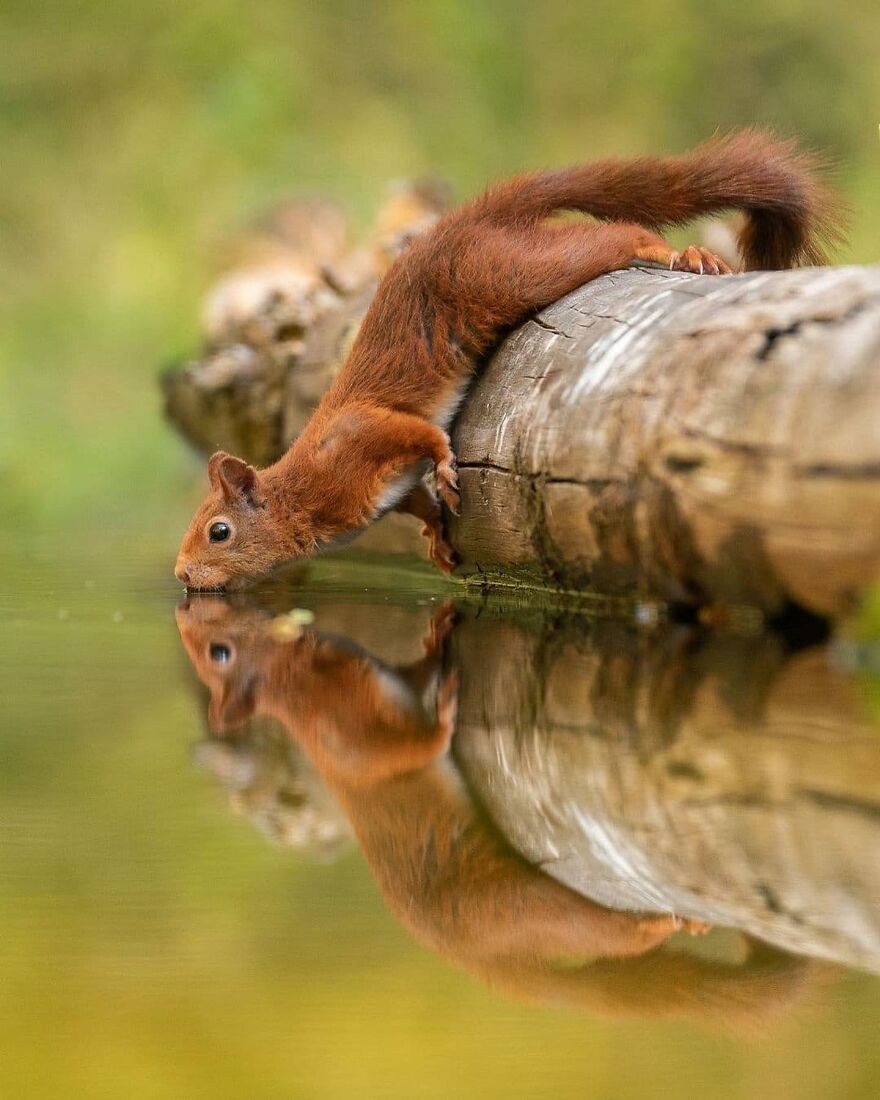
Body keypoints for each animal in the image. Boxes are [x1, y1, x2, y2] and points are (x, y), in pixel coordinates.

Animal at [175, 130, 839, 589]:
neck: (303, 492)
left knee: (613, 236)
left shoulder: (359, 438)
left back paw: (682, 254)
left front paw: (446, 464)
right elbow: (416, 499)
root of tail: (469, 219)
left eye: (218, 531)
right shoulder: (384, 488)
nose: (181, 576)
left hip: (511, 272)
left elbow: (414, 431)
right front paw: (436, 537)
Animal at [176, 597, 821, 1026]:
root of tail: (479, 966)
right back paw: (667, 921)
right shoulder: (354, 740)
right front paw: (446, 702)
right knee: (596, 927)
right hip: (512, 903)